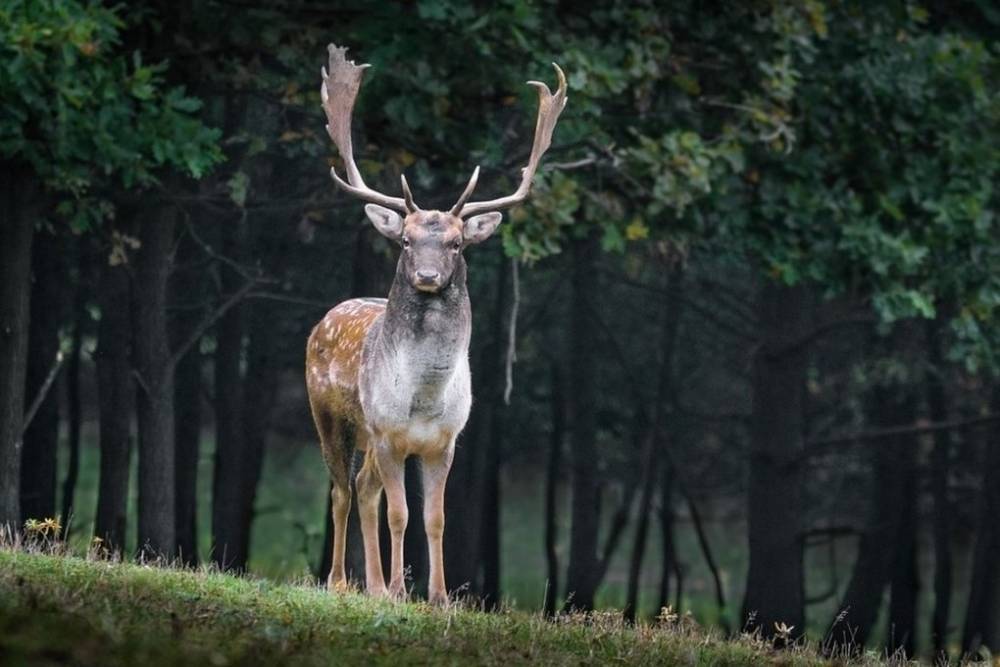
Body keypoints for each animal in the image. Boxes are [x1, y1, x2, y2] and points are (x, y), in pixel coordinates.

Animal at [304, 41, 568, 604]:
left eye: (456, 243)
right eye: (405, 240)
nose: (427, 276)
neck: (423, 399)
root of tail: (325, 319)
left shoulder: (445, 442)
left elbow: (435, 518)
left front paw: (439, 596)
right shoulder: (388, 434)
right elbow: (400, 514)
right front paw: (400, 591)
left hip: (367, 437)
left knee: (363, 489)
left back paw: (372, 585)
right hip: (332, 416)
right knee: (341, 490)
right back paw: (341, 582)